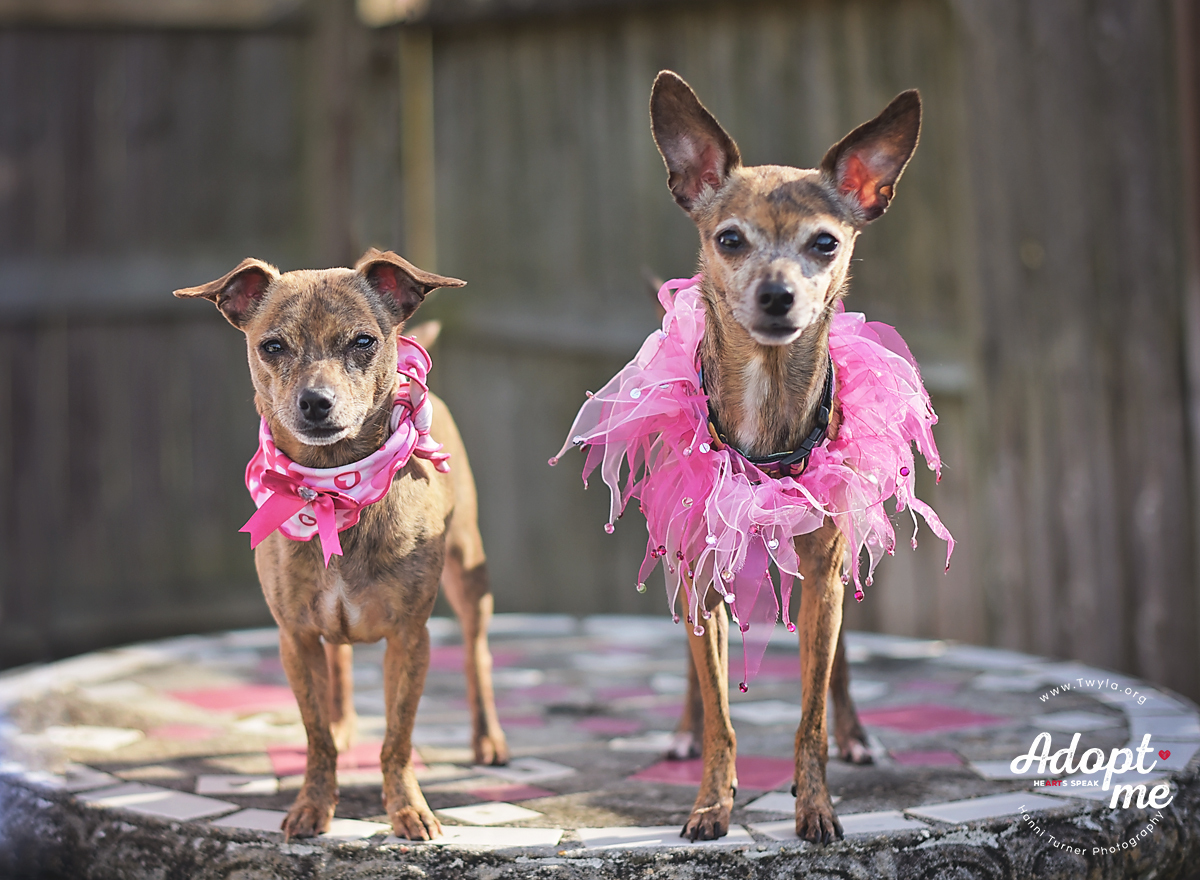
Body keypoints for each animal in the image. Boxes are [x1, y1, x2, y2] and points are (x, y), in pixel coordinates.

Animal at [175, 247, 506, 835]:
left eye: (363, 341)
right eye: (272, 346)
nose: (316, 402)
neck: (336, 489)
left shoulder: (410, 639)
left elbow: (397, 738)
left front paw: (407, 808)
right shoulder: (297, 639)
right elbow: (316, 736)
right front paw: (313, 803)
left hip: (470, 572)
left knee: (476, 653)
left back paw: (487, 737)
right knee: (341, 667)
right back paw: (345, 721)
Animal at [648, 72, 916, 840]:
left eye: (824, 243)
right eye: (729, 239)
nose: (777, 294)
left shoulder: (824, 573)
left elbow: (810, 713)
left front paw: (816, 805)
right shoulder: (701, 568)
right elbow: (720, 710)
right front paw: (712, 801)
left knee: (841, 665)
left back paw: (859, 734)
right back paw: (681, 730)